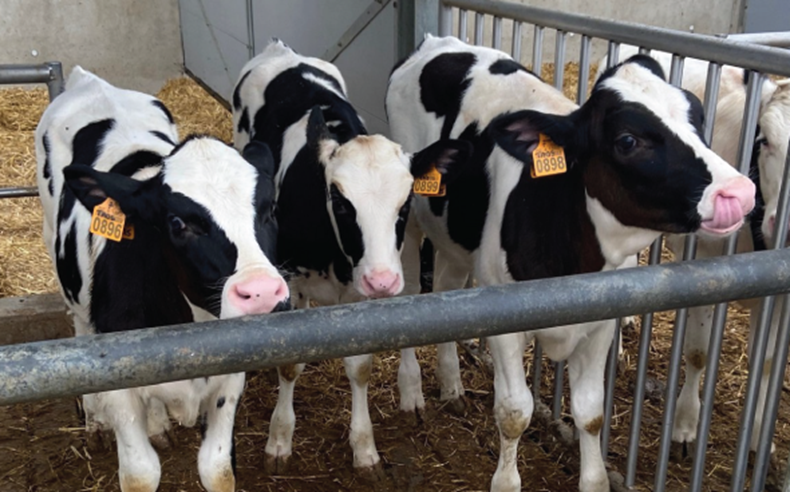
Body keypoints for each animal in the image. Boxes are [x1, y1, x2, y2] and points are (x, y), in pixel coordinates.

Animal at [36, 67, 290, 492]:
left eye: (270, 209)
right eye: (178, 223)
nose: (262, 293)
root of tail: (89, 81)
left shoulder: (231, 374)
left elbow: (217, 469)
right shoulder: (119, 384)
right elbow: (140, 473)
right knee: (80, 325)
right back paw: (95, 421)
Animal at [232, 39, 469, 477]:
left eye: (405, 202)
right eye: (341, 203)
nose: (383, 281)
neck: (335, 258)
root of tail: (281, 50)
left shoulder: (360, 293)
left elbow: (359, 367)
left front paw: (364, 448)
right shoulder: (291, 280)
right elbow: (289, 363)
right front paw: (279, 440)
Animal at [386, 35, 756, 492]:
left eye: (697, 112)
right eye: (627, 140)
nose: (738, 191)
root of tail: (439, 42)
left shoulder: (600, 323)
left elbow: (590, 412)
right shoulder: (504, 326)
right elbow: (514, 411)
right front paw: (505, 480)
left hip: (455, 238)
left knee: (446, 289)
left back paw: (452, 386)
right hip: (408, 219)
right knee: (408, 296)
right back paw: (412, 392)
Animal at [599, 46, 790, 457]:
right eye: (766, 140)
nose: (785, 224)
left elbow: (767, 363)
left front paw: (757, 438)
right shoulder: (704, 266)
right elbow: (698, 352)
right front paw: (685, 425)